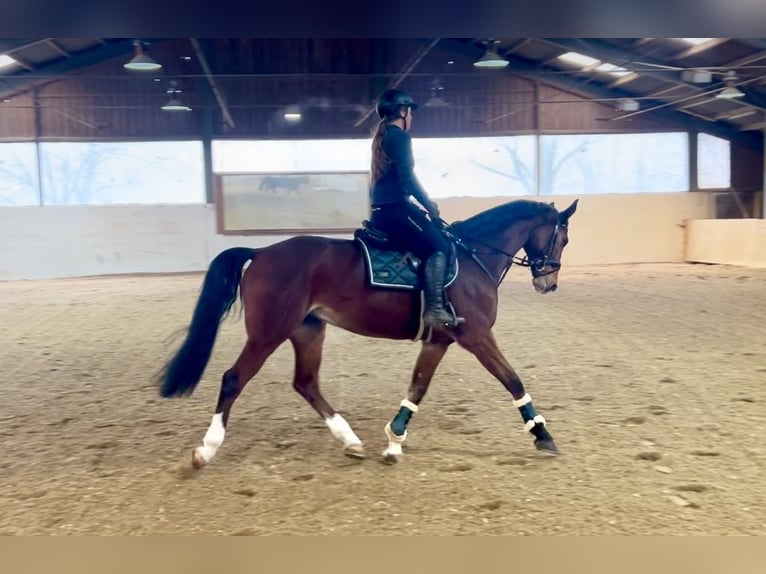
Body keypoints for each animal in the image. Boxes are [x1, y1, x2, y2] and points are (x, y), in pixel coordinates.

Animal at [159, 200, 584, 470]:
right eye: (562, 238)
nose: (548, 284)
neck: (472, 257)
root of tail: (261, 253)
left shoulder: (439, 339)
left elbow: (417, 388)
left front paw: (394, 442)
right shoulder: (476, 336)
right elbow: (513, 380)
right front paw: (542, 435)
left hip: (307, 330)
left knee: (306, 383)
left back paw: (351, 442)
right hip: (268, 333)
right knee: (234, 379)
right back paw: (206, 450)